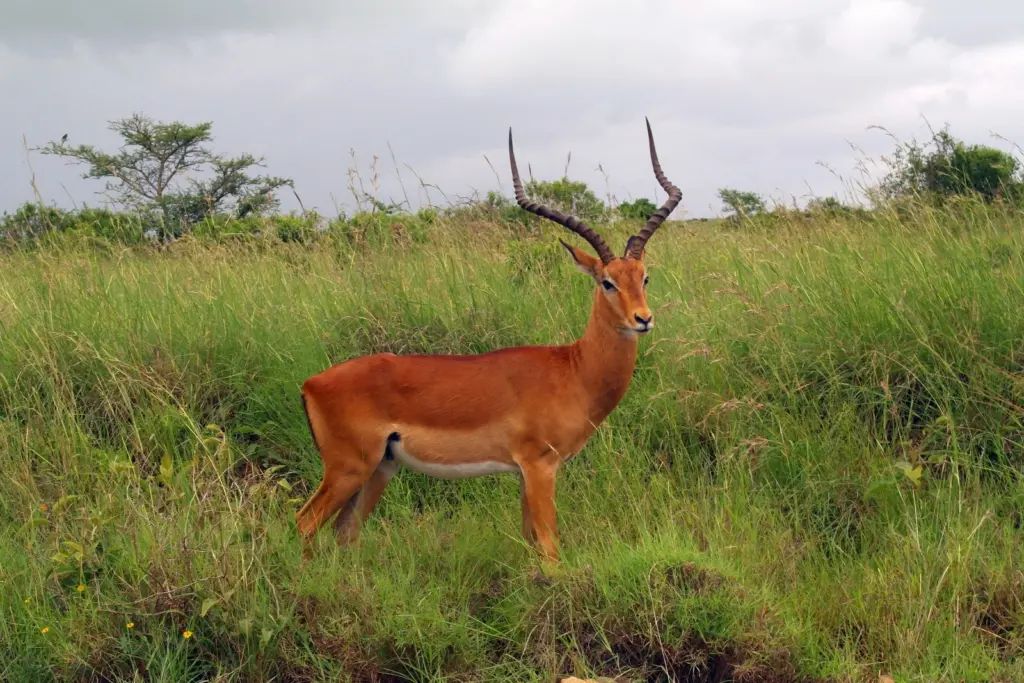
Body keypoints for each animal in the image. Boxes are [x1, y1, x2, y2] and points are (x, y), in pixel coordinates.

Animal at [296, 118, 681, 563]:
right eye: (607, 282)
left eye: (644, 277)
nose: (643, 319)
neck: (574, 370)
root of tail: (310, 383)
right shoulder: (540, 466)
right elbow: (551, 548)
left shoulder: (523, 474)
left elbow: (531, 541)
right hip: (349, 468)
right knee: (304, 523)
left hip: (380, 468)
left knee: (345, 531)